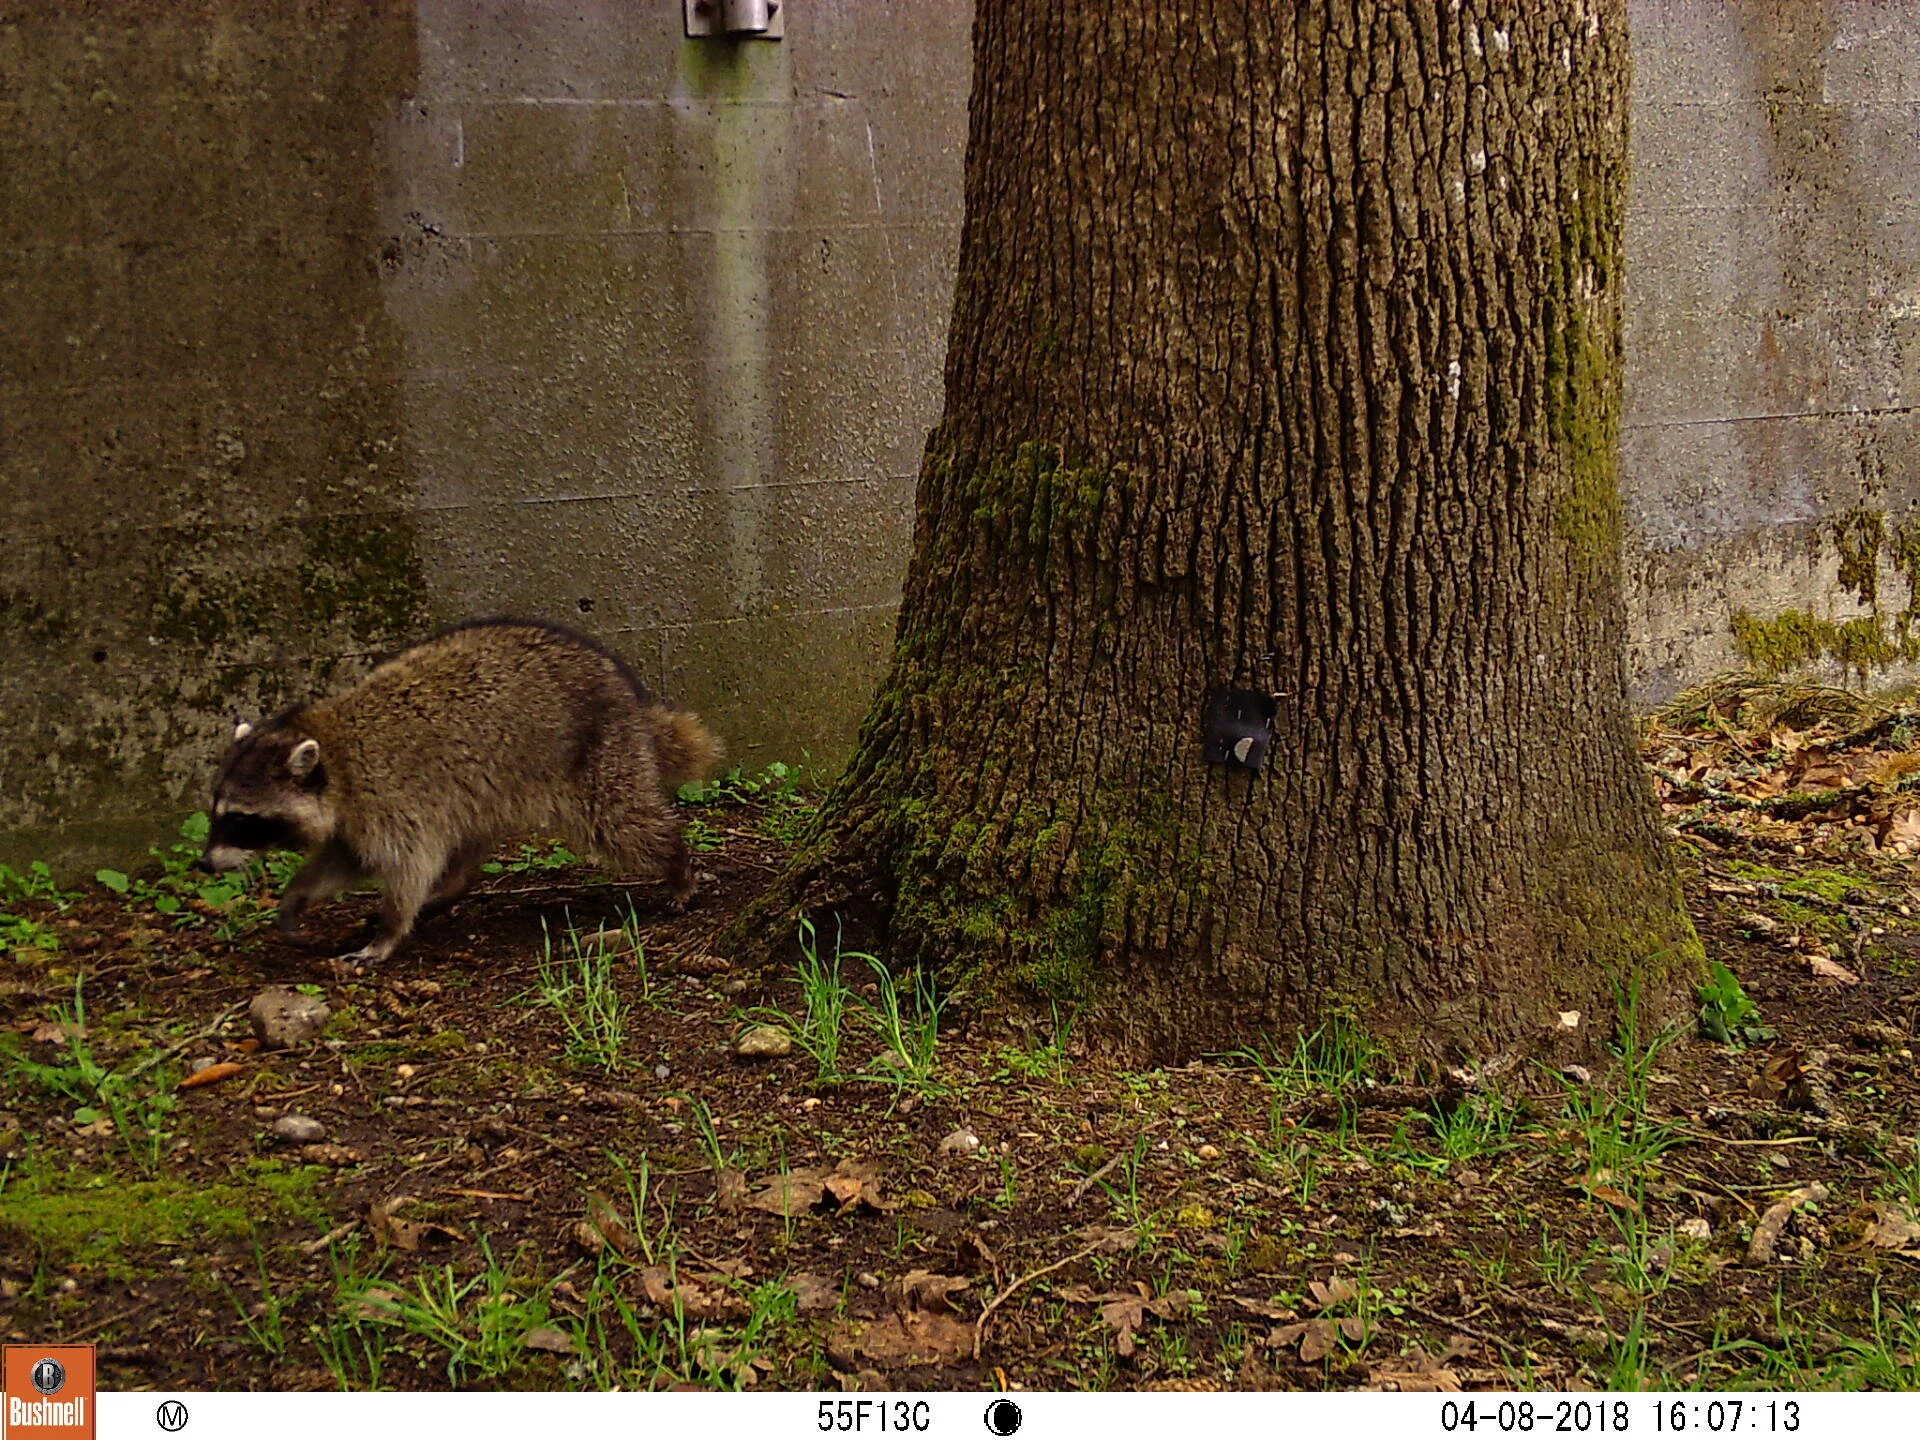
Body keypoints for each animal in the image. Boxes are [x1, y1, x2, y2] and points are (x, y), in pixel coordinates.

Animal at [200, 618, 721, 965]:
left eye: (242, 819)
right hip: (478, 792)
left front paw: (389, 930)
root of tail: (627, 691)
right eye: (215, 811)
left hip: (598, 759)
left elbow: (407, 867)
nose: (203, 865)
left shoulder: (390, 801)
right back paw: (450, 889)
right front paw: (296, 894)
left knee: (624, 823)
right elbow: (345, 862)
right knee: (466, 841)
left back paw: (677, 865)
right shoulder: (361, 814)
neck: (334, 756)